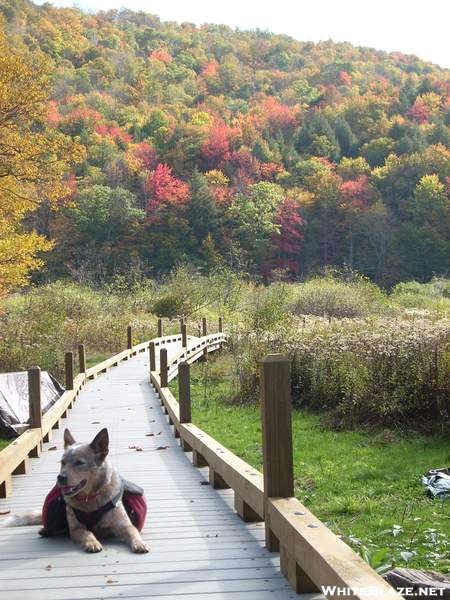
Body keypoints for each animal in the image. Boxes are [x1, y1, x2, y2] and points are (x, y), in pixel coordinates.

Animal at [2, 426, 149, 552]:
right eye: (63, 462)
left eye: (80, 463)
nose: (60, 477)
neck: (89, 498)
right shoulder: (76, 528)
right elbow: (87, 532)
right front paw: (92, 542)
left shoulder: (123, 525)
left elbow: (133, 531)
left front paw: (140, 543)